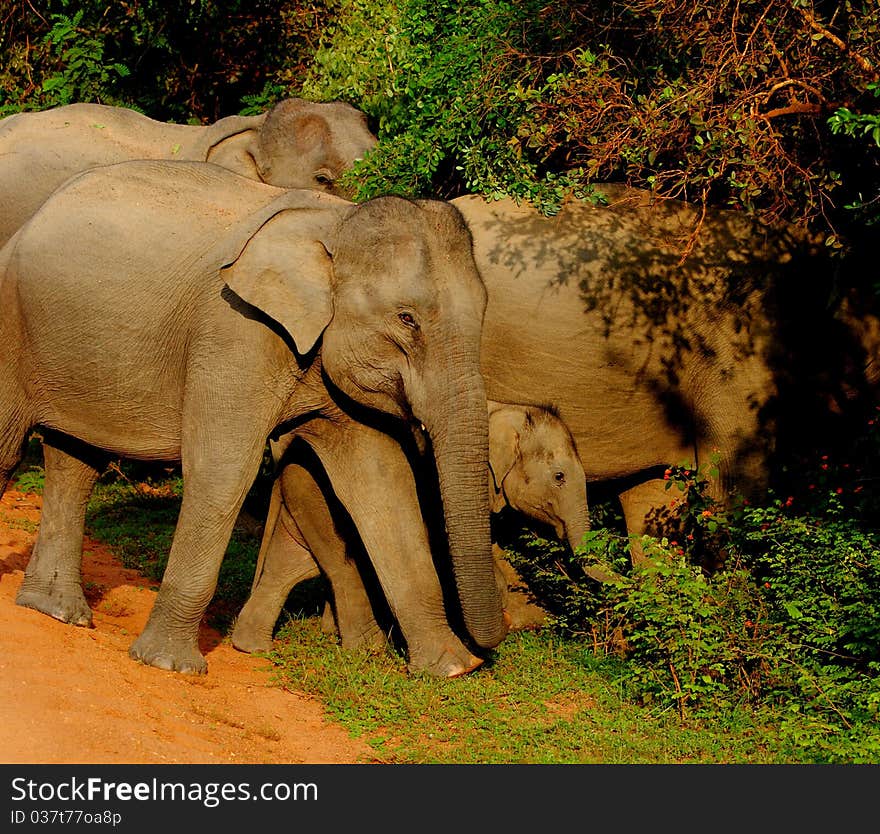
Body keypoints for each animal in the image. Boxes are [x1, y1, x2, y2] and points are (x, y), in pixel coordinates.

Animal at [0, 158, 508, 676]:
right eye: (407, 319)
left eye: (483, 313)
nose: (490, 649)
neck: (336, 223)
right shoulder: (235, 328)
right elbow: (223, 472)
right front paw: (171, 665)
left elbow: (383, 485)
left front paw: (450, 666)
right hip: (11, 317)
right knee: (10, 449)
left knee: (74, 461)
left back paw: (57, 611)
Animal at [234, 398, 592, 656]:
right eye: (559, 477)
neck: (507, 409)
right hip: (318, 495)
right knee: (338, 563)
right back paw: (365, 646)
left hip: (304, 498)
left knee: (292, 563)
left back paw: (255, 645)